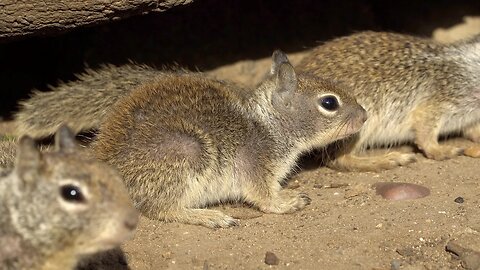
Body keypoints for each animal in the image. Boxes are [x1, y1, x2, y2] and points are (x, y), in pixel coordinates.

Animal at [15, 50, 368, 228]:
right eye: (329, 103)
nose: (364, 116)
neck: (270, 125)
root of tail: (102, 159)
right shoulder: (257, 173)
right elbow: (265, 200)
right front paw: (288, 202)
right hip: (188, 152)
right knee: (161, 209)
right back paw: (209, 216)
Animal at [298, 31, 480, 171]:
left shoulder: (469, 119)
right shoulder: (438, 103)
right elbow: (425, 135)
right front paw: (442, 151)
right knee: (339, 159)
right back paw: (389, 159)